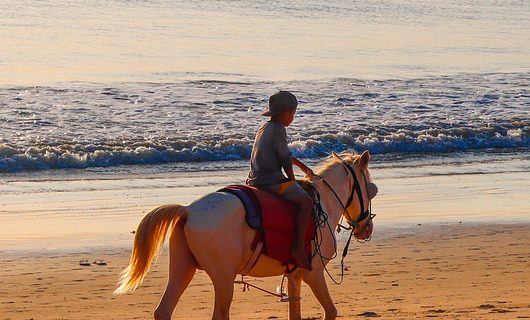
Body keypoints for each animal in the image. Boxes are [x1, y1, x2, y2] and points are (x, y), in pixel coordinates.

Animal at [114, 151, 376, 320]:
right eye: (371, 190)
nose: (367, 229)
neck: (323, 203)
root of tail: (188, 210)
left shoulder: (295, 276)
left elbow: (295, 314)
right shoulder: (314, 274)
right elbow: (330, 311)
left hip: (182, 268)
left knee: (163, 311)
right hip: (222, 277)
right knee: (219, 315)